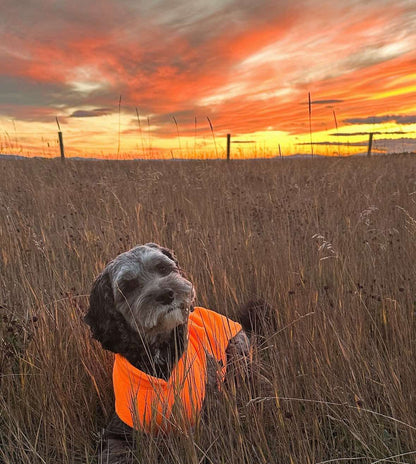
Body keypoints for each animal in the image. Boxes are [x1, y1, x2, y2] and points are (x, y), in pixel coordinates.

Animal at [85, 245, 250, 462]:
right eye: (128, 286)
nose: (166, 294)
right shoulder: (119, 430)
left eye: (162, 268)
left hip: (237, 348)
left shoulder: (208, 411)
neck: (159, 353)